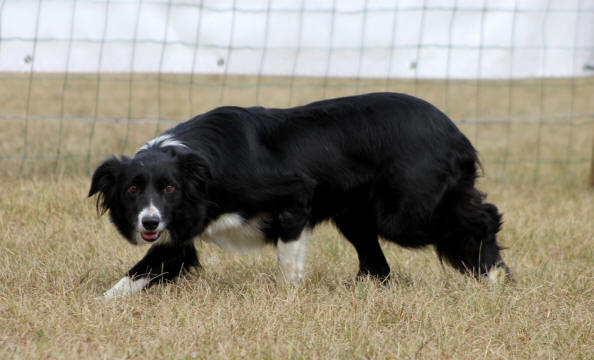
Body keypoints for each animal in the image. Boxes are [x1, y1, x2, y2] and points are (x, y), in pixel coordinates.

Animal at [88, 93, 508, 298]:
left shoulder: (295, 198)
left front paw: (289, 302)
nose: (149, 222)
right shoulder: (177, 232)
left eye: (169, 188)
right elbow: (141, 272)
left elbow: (288, 262)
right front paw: (98, 306)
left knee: (484, 215)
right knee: (378, 265)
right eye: (132, 189)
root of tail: (454, 130)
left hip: (405, 215)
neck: (206, 168)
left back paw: (497, 278)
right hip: (355, 215)